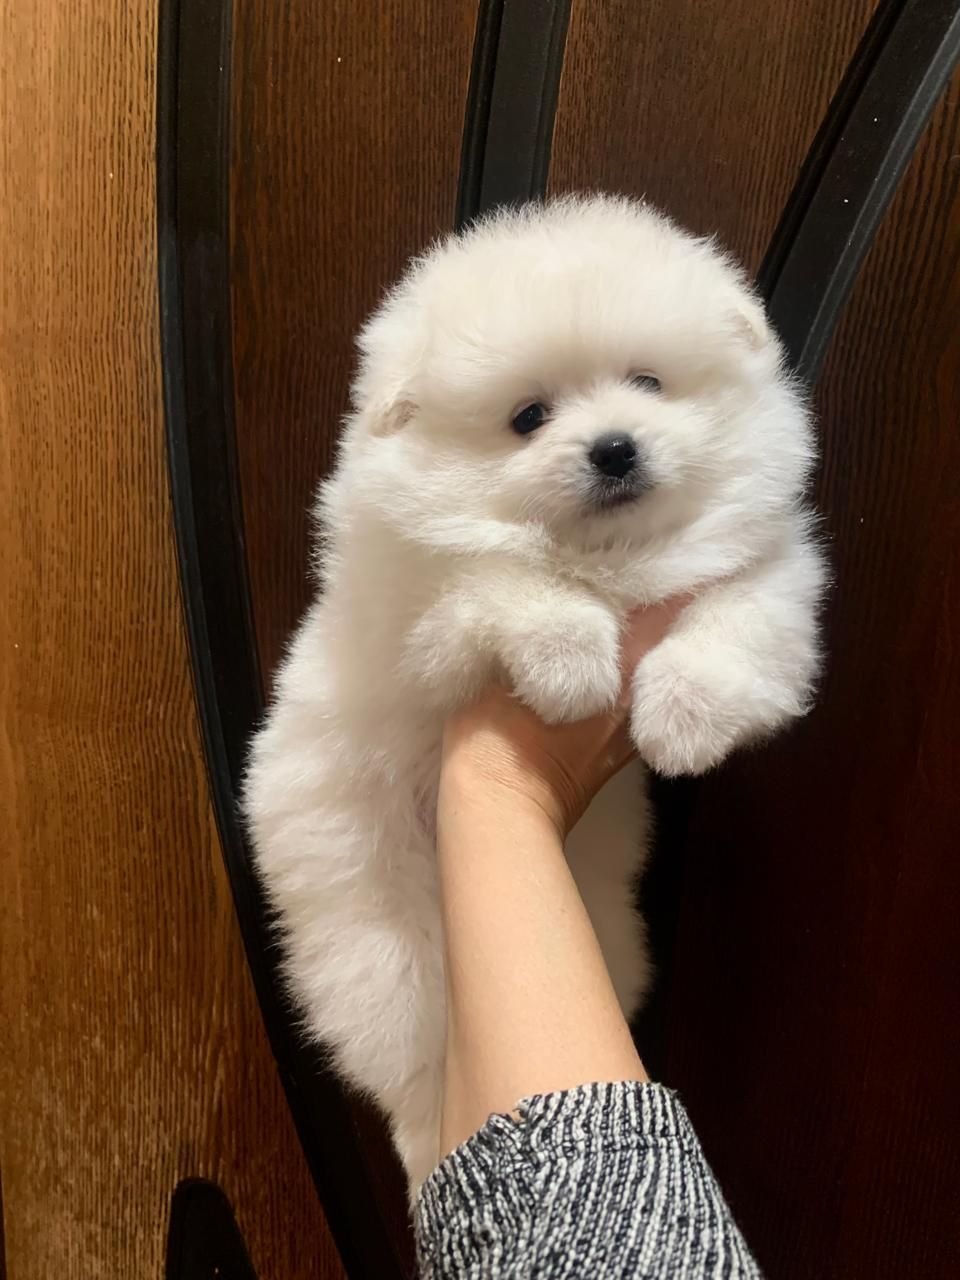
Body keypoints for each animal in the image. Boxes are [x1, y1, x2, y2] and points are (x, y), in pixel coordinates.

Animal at [243, 194, 825, 1195]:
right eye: (527, 417)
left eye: (648, 382)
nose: (614, 447)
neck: (612, 559)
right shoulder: (421, 621)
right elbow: (500, 578)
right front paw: (571, 661)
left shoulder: (769, 571)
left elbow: (736, 621)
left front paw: (684, 716)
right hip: (375, 952)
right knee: (412, 1081)